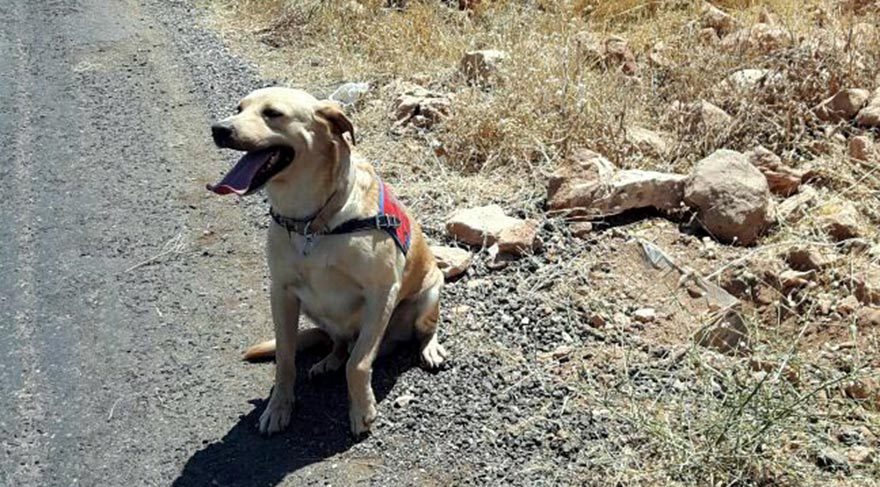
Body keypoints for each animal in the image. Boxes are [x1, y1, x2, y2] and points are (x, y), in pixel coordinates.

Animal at [207, 86, 446, 436]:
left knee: (424, 329)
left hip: (429, 293)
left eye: (272, 113)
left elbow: (358, 363)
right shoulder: (282, 292)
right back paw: (328, 361)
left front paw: (361, 410)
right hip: (315, 309)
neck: (312, 221)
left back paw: (429, 348)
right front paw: (279, 407)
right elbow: (286, 358)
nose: (219, 129)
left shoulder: (382, 293)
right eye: (238, 109)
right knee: (339, 342)